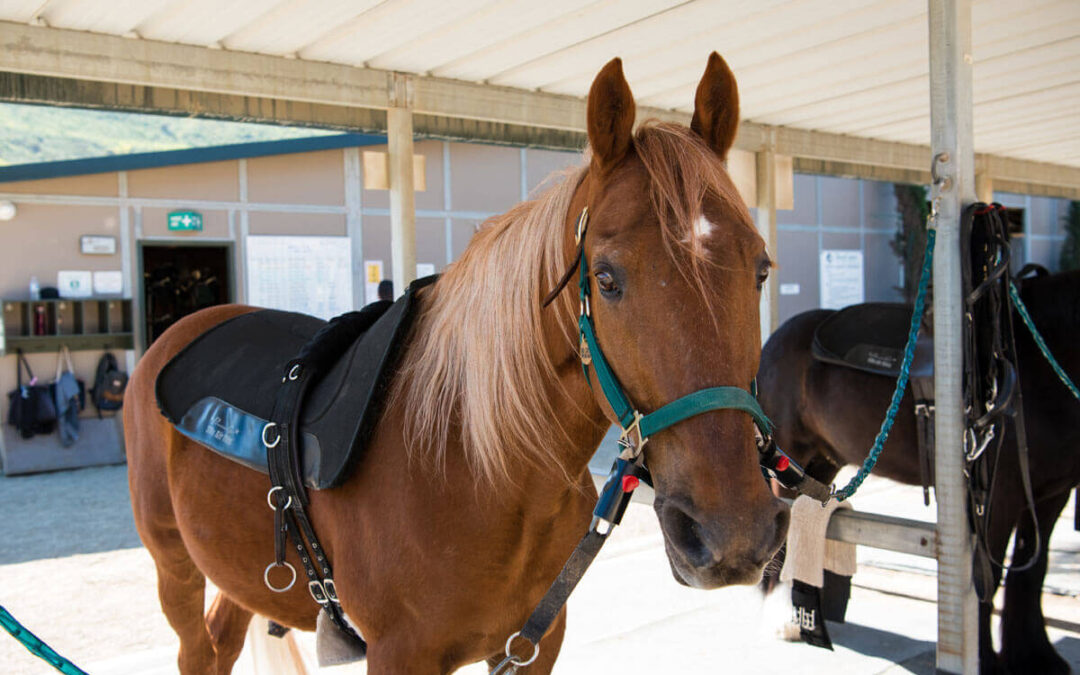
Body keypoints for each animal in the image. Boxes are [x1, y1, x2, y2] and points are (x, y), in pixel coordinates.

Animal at [125, 53, 789, 674]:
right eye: (605, 278)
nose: (733, 533)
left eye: (760, 269)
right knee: (195, 650)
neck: (475, 462)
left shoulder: (533, 645)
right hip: (173, 565)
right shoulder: (400, 655)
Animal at [757, 267, 1080, 674]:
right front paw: (989, 662)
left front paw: (1038, 657)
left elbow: (1031, 572)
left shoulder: (1051, 494)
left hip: (819, 464)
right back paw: (783, 619)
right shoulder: (999, 500)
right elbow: (987, 583)